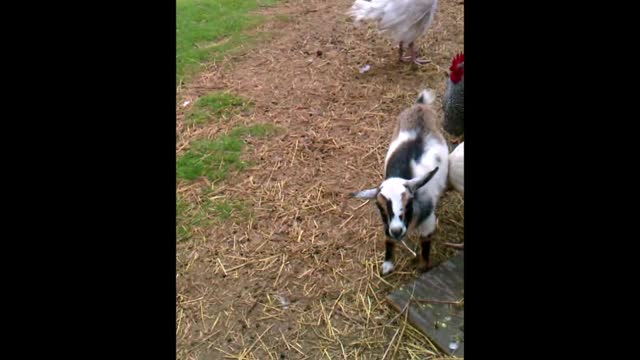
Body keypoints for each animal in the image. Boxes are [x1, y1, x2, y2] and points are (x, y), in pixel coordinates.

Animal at [350, 90, 450, 276]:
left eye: (409, 203)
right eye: (380, 207)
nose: (397, 230)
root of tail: (420, 106)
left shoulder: (428, 223)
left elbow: (425, 246)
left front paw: (423, 268)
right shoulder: (387, 224)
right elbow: (388, 240)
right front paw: (387, 265)